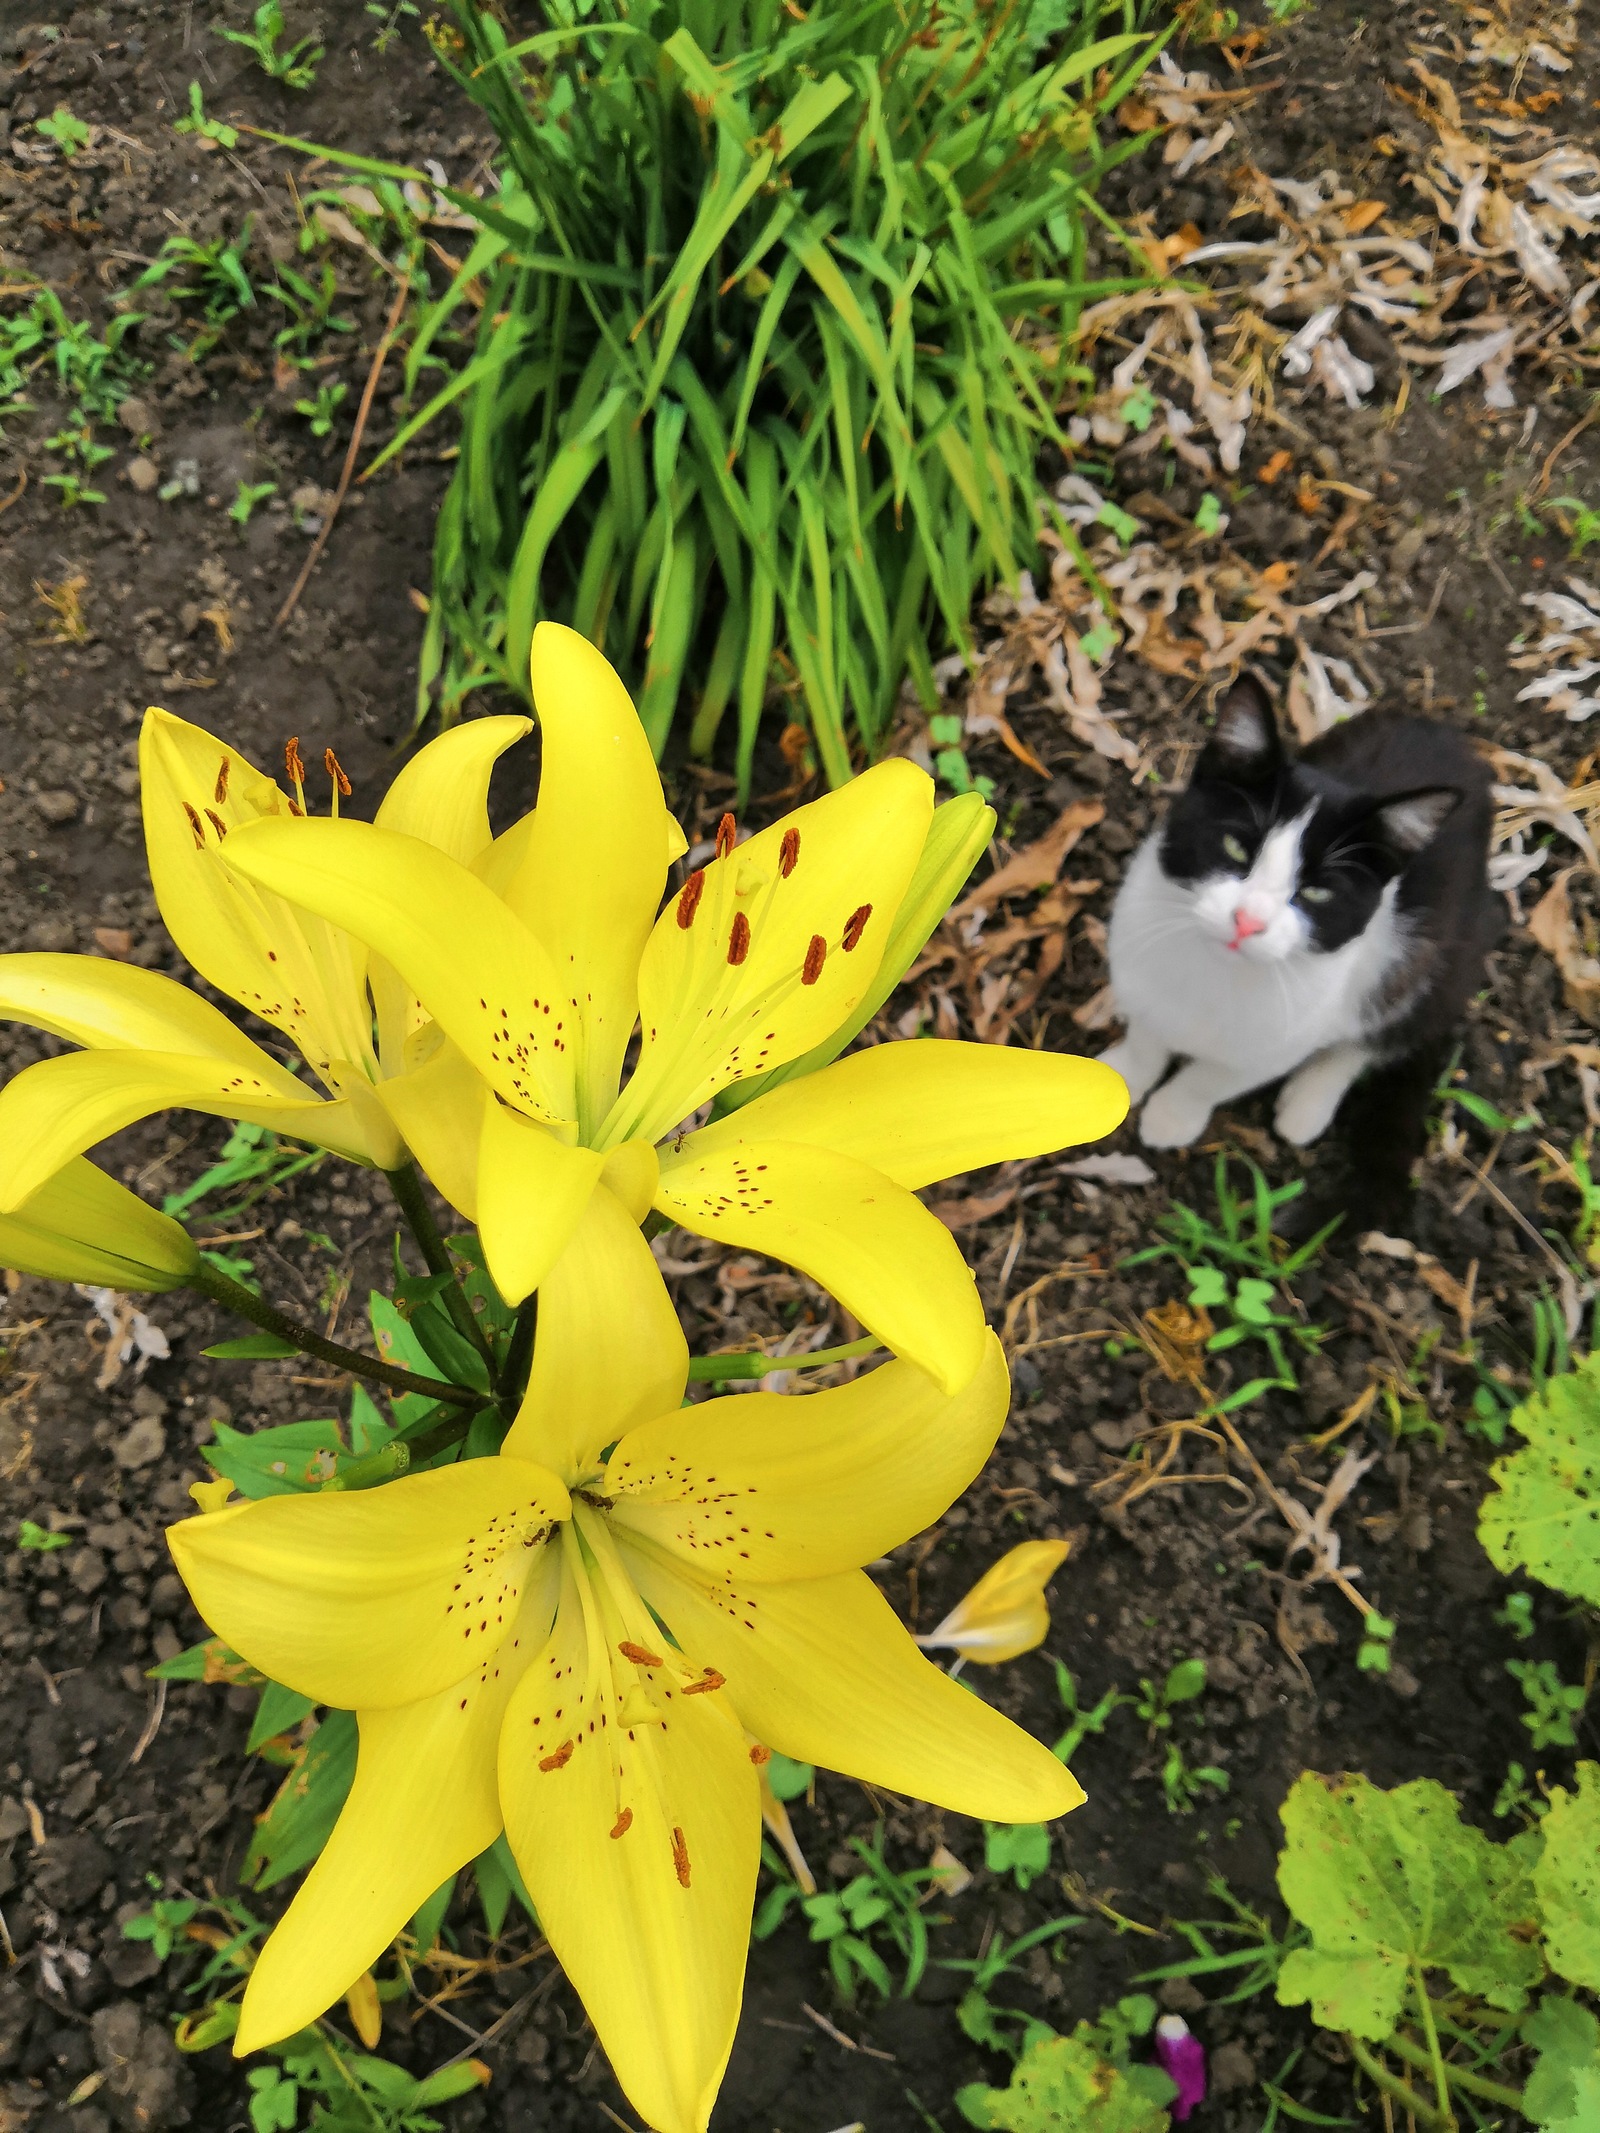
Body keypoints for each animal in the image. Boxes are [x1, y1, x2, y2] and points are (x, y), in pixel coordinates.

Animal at [1100, 678, 1501, 1220]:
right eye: (1235, 848)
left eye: (1316, 893)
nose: (1248, 921)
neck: (1216, 973)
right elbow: (1147, 1035)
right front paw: (1124, 1076)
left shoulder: (1282, 1038)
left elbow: (1215, 1077)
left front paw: (1173, 1113)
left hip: (1446, 950)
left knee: (1393, 1023)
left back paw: (1309, 1101)